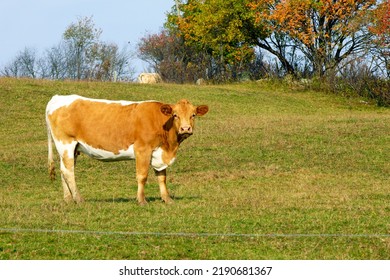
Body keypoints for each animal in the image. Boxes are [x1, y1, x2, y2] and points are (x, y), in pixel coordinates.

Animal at [45, 95, 209, 205]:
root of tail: (58, 97)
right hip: (66, 143)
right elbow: (142, 176)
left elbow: (162, 177)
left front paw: (167, 199)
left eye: (193, 115)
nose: (185, 128)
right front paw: (141, 200)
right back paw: (79, 199)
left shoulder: (159, 153)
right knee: (68, 171)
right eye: (175, 115)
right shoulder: (143, 149)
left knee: (63, 170)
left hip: (71, 148)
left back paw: (68, 199)